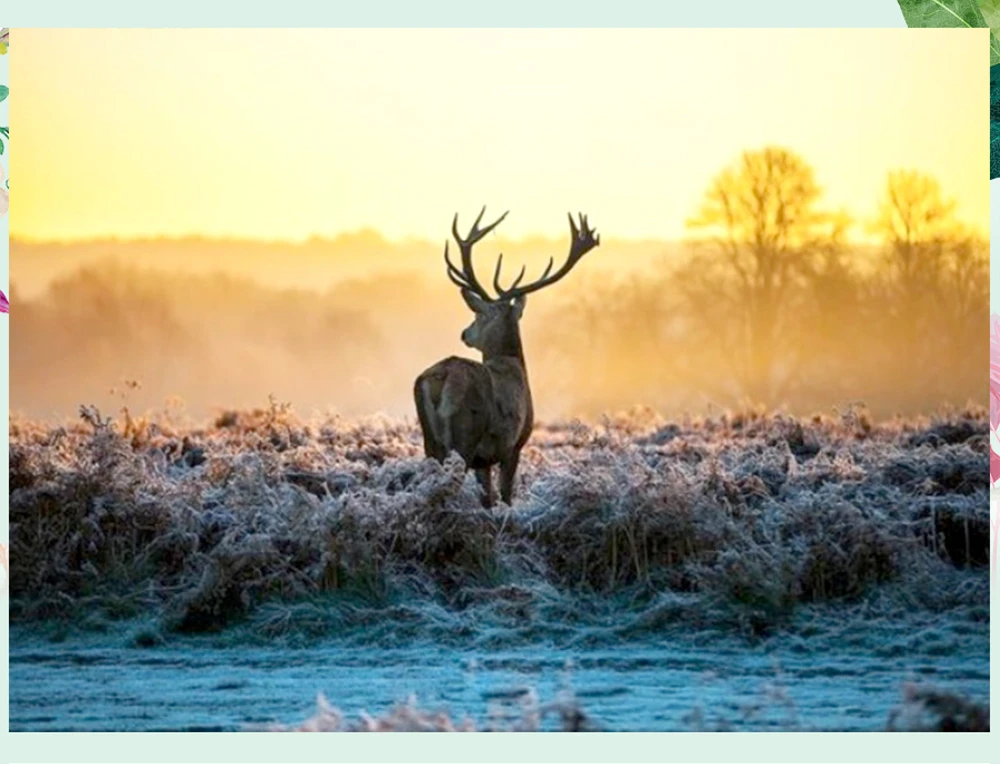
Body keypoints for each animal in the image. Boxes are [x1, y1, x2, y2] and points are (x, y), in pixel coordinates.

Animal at [414, 207, 600, 508]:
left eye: (478, 315)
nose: (465, 333)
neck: (513, 364)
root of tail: (440, 378)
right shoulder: (513, 445)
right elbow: (505, 495)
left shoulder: (485, 459)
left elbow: (487, 497)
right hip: (464, 435)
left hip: (430, 440)